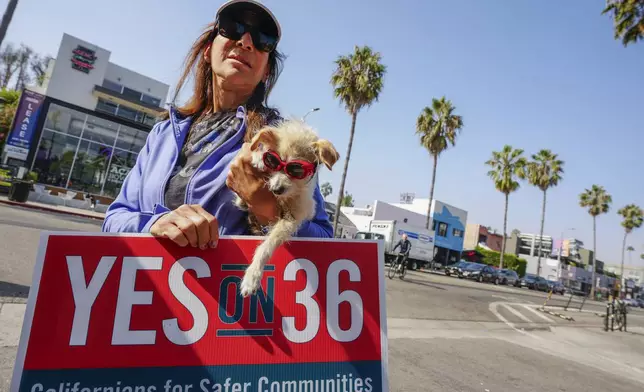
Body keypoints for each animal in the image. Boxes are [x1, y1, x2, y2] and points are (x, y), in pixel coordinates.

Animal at [233, 119, 342, 298]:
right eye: (273, 161)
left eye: (297, 170)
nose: (276, 189)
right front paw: (259, 157)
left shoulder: (293, 217)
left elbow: (266, 246)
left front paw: (252, 277)